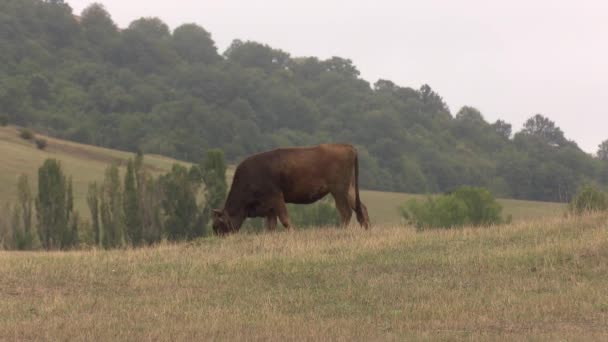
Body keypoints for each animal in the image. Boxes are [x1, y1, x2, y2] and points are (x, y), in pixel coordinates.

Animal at [214, 143, 370, 234]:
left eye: (219, 225)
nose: (221, 239)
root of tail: (347, 147)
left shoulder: (276, 198)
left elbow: (285, 219)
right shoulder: (270, 208)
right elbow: (271, 225)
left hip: (338, 191)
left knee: (345, 211)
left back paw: (339, 231)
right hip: (349, 189)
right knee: (360, 208)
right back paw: (366, 229)